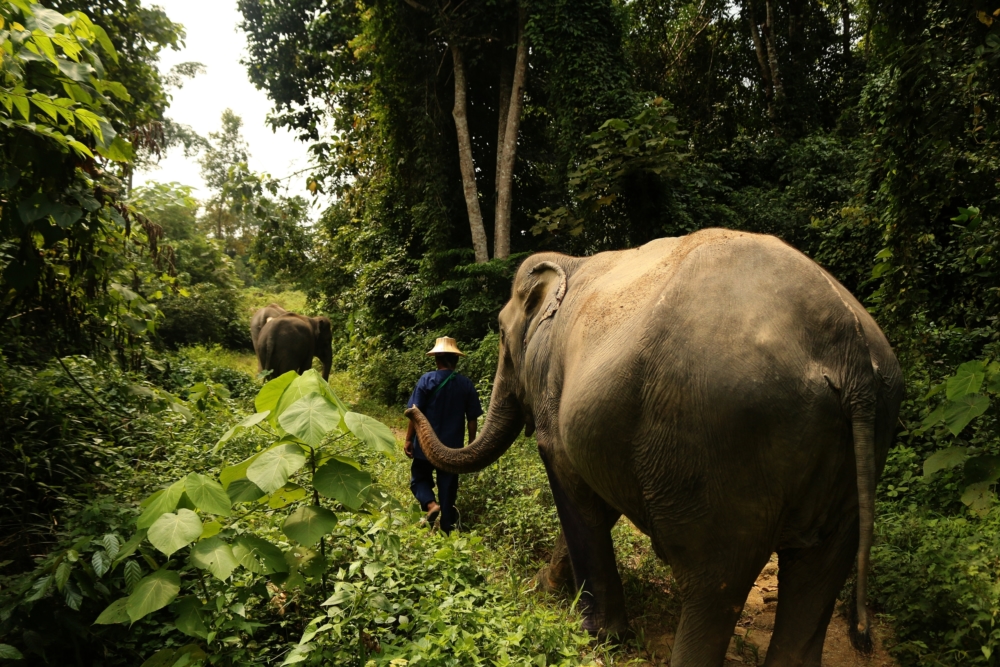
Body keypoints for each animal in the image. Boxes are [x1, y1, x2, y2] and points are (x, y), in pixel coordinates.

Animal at [406, 230, 908, 667]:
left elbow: (574, 490)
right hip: (862, 445)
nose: (411, 413)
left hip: (722, 444)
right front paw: (544, 590)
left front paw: (596, 634)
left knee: (714, 580)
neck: (571, 263)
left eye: (501, 335)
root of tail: (846, 345)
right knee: (818, 572)